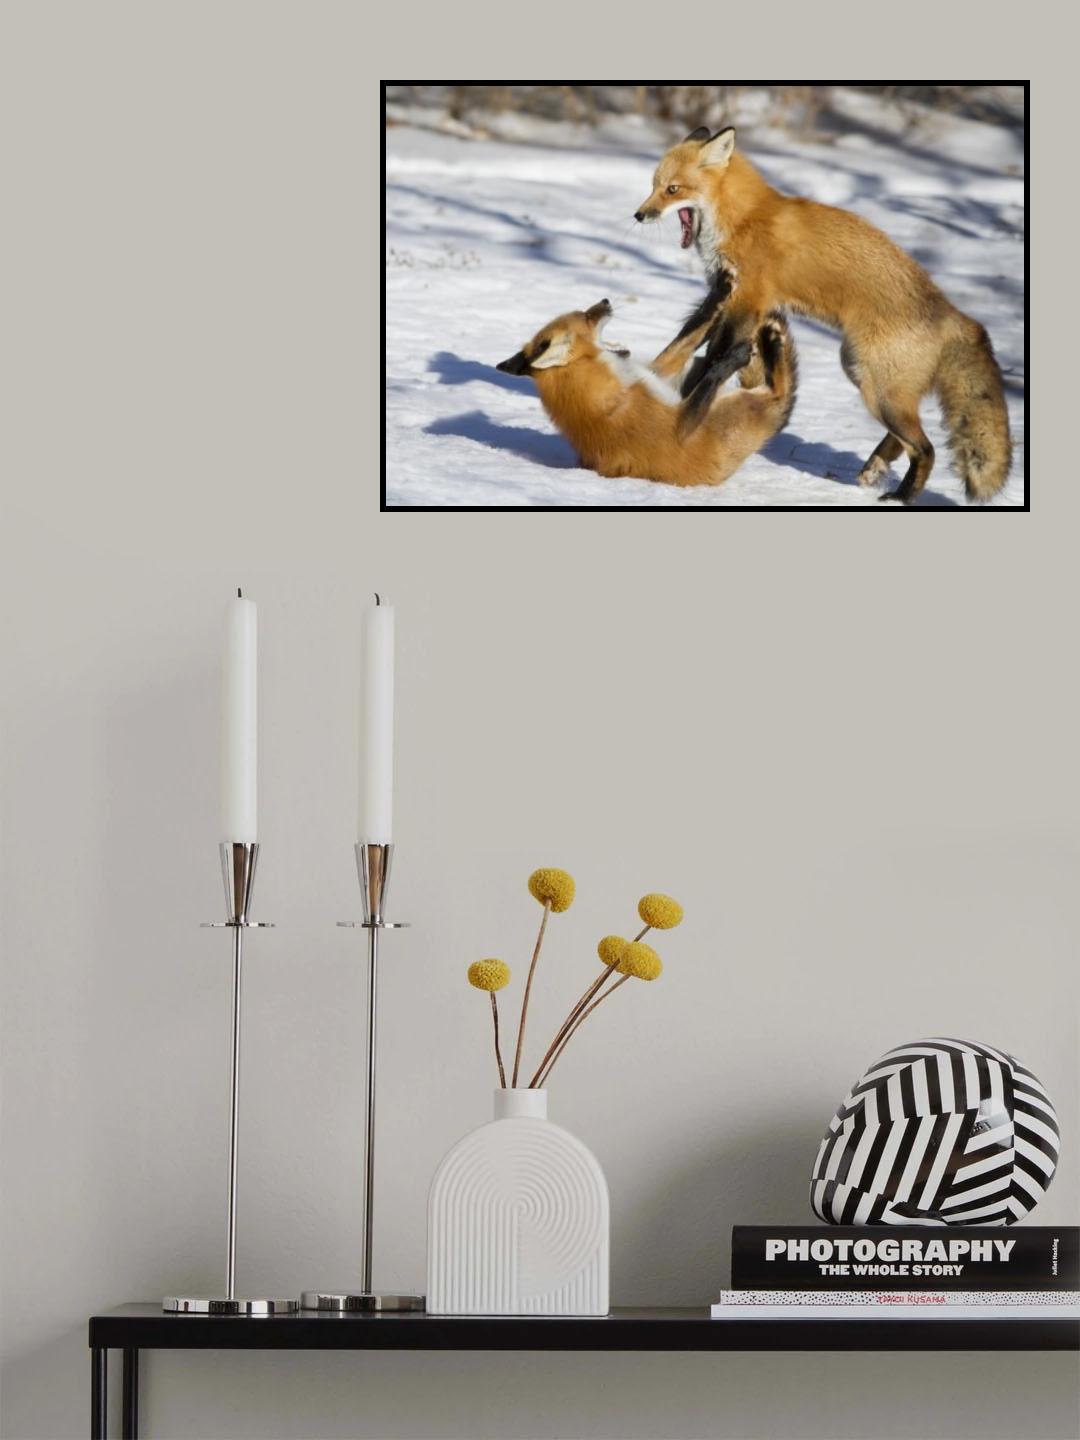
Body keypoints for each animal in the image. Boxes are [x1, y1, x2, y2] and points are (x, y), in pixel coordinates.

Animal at [495, 282, 796, 489]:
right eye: (586, 316)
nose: (605, 300)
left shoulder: (660, 380)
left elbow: (686, 340)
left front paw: (716, 297)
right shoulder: (682, 428)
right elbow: (711, 372)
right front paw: (732, 356)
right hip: (743, 406)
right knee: (779, 390)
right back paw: (771, 342)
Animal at [635, 126, 1014, 504]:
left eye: (673, 189)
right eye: (653, 185)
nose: (639, 216)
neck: (742, 218)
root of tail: (950, 310)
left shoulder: (747, 303)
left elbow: (712, 356)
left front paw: (688, 401)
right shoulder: (728, 296)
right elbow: (691, 339)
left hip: (878, 390)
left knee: (926, 448)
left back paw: (901, 496)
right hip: (864, 374)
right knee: (906, 438)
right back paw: (876, 468)